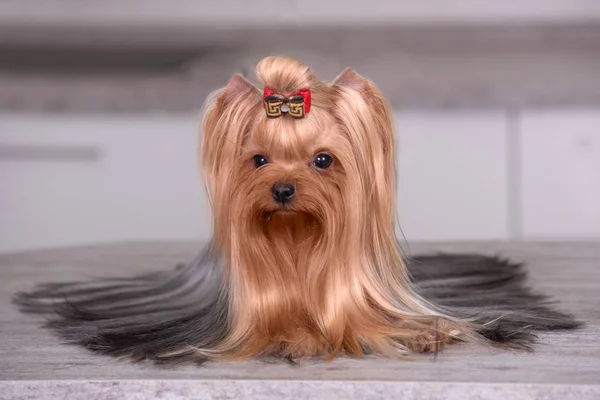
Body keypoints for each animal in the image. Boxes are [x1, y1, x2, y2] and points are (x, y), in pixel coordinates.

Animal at [11, 56, 580, 366]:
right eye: (259, 159)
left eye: (323, 160)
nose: (283, 189)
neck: (298, 238)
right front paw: (301, 338)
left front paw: (418, 333)